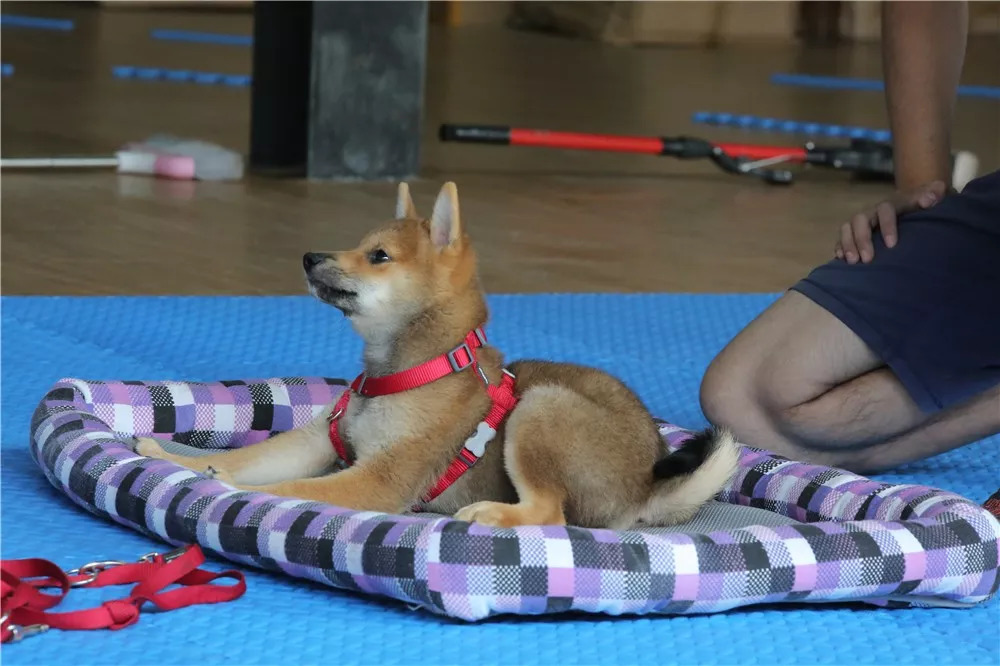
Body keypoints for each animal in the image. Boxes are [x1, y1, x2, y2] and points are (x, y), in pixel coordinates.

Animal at [137, 183, 740, 528]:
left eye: (378, 256)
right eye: (359, 244)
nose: (309, 256)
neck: (404, 372)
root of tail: (646, 489)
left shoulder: (378, 480)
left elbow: (290, 489)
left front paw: (230, 488)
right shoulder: (317, 441)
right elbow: (250, 458)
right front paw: (178, 459)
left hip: (543, 408)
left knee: (550, 515)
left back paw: (493, 513)